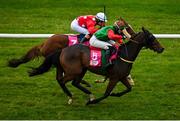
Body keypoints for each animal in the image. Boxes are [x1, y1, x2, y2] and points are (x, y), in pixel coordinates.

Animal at [28, 27, 165, 104]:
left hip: (82, 69)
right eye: (151, 37)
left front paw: (116, 94)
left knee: (75, 82)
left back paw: (89, 94)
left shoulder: (121, 77)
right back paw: (72, 97)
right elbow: (106, 94)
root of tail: (63, 50)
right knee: (62, 80)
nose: (162, 48)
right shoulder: (114, 78)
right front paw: (93, 102)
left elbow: (129, 89)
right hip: (74, 71)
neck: (124, 55)